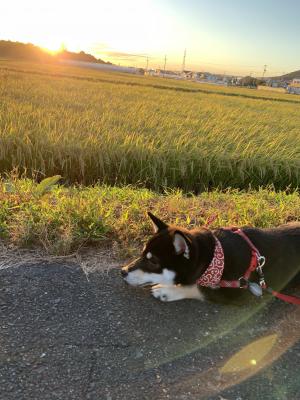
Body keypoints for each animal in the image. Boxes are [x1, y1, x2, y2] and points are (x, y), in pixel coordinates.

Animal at [120, 212, 300, 304]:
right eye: (142, 253)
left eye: (153, 261)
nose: (122, 271)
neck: (215, 258)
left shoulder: (236, 293)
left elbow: (198, 289)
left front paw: (166, 290)